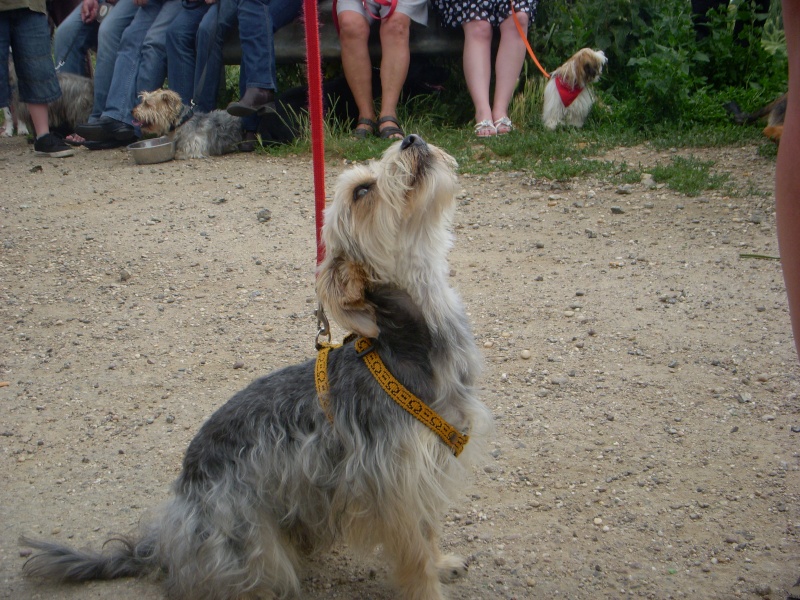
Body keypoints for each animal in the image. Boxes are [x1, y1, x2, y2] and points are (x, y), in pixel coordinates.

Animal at [20, 136, 494, 600]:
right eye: (362, 191)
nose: (410, 138)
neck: (410, 343)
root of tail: (164, 544)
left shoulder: (424, 477)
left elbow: (429, 537)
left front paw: (443, 562)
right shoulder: (395, 489)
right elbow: (416, 561)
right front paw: (430, 582)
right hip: (250, 544)